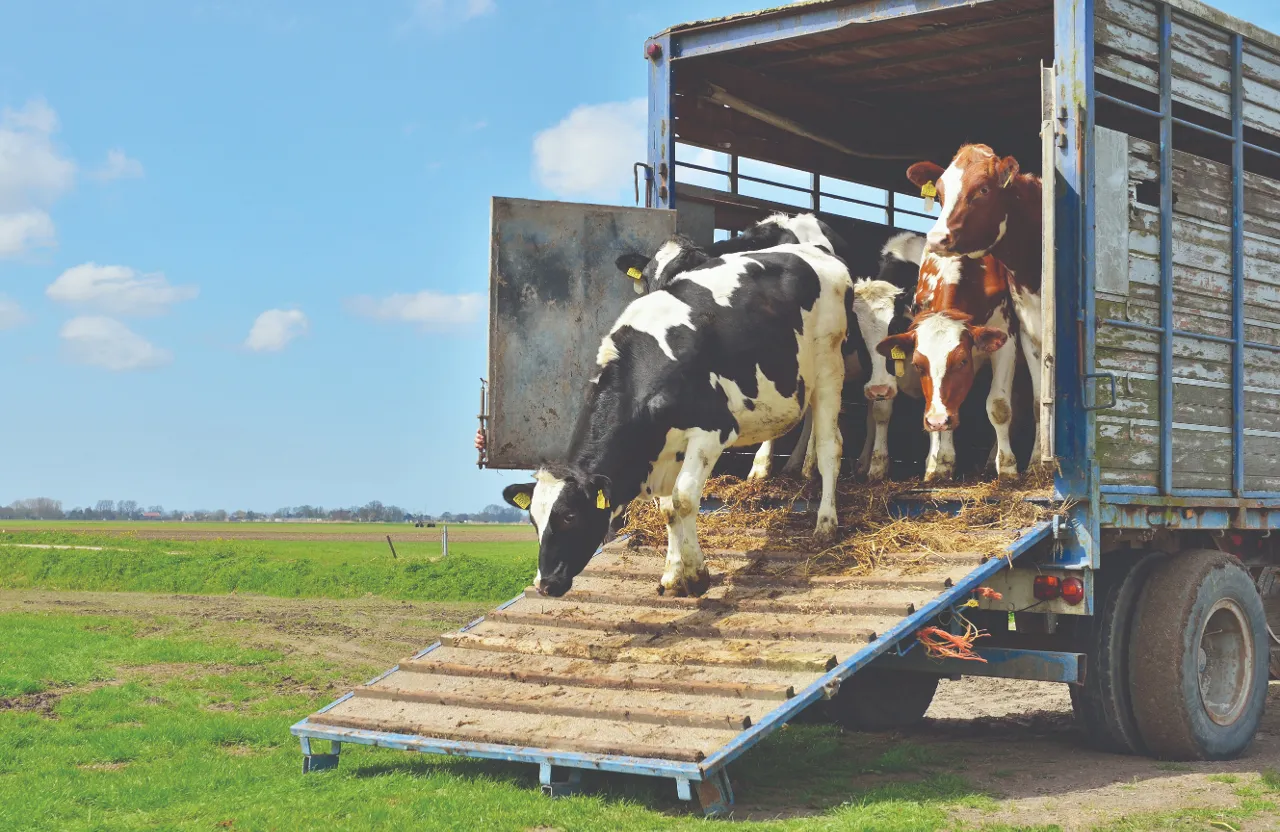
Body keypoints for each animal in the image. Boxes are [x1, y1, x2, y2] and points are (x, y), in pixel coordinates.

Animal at [504, 232, 855, 596]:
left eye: (569, 516)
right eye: (534, 520)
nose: (545, 583)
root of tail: (817, 252)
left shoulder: (712, 430)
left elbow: (684, 500)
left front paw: (697, 575)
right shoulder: (665, 448)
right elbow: (668, 508)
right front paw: (673, 574)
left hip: (830, 364)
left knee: (830, 446)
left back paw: (826, 523)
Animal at [875, 249, 1013, 476]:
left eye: (962, 360)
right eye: (917, 365)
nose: (937, 420)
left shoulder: (1006, 336)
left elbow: (999, 406)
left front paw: (1008, 466)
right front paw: (942, 461)